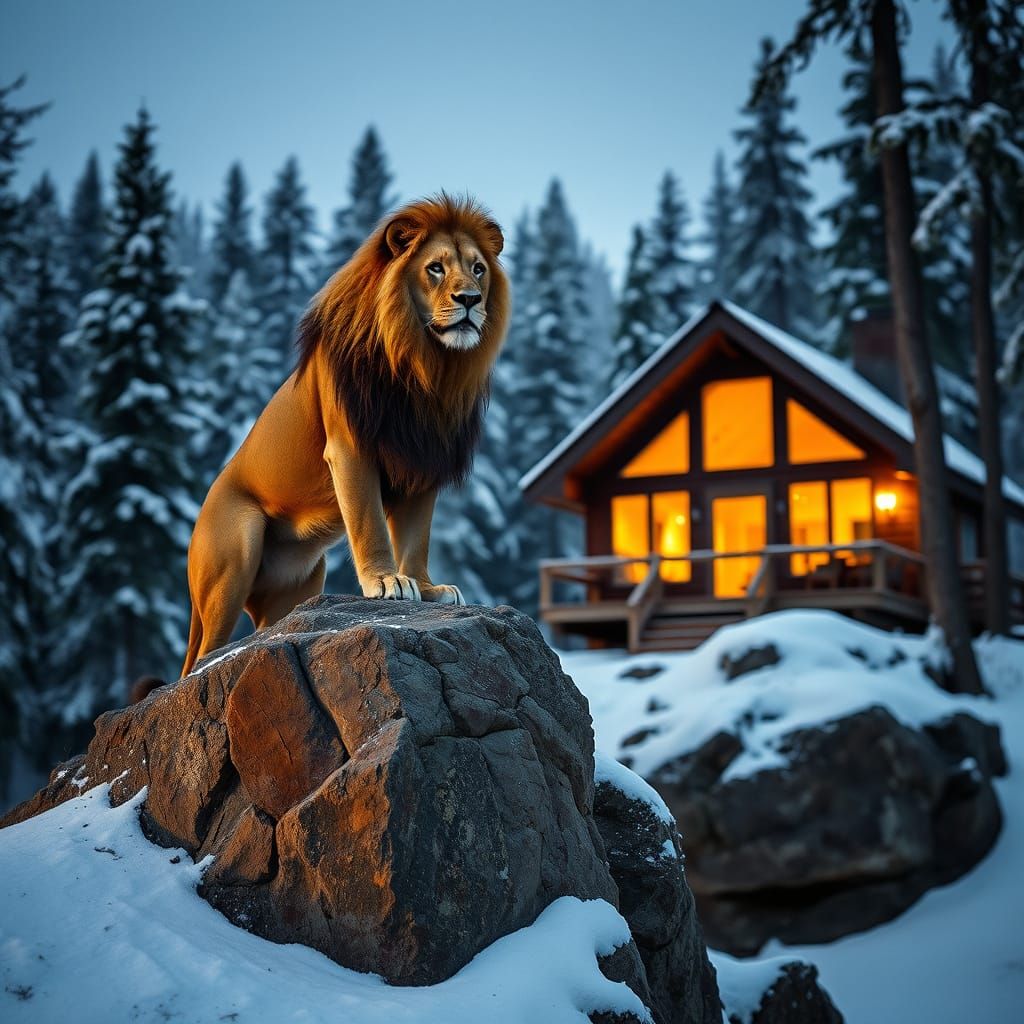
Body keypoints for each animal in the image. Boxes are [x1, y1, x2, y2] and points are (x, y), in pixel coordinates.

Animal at [178, 193, 509, 678]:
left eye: (479, 268)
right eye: (435, 268)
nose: (469, 299)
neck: (426, 366)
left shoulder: (423, 459)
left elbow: (417, 537)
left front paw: (426, 588)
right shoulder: (351, 448)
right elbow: (370, 523)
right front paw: (387, 581)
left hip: (296, 587)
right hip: (233, 554)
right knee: (203, 654)